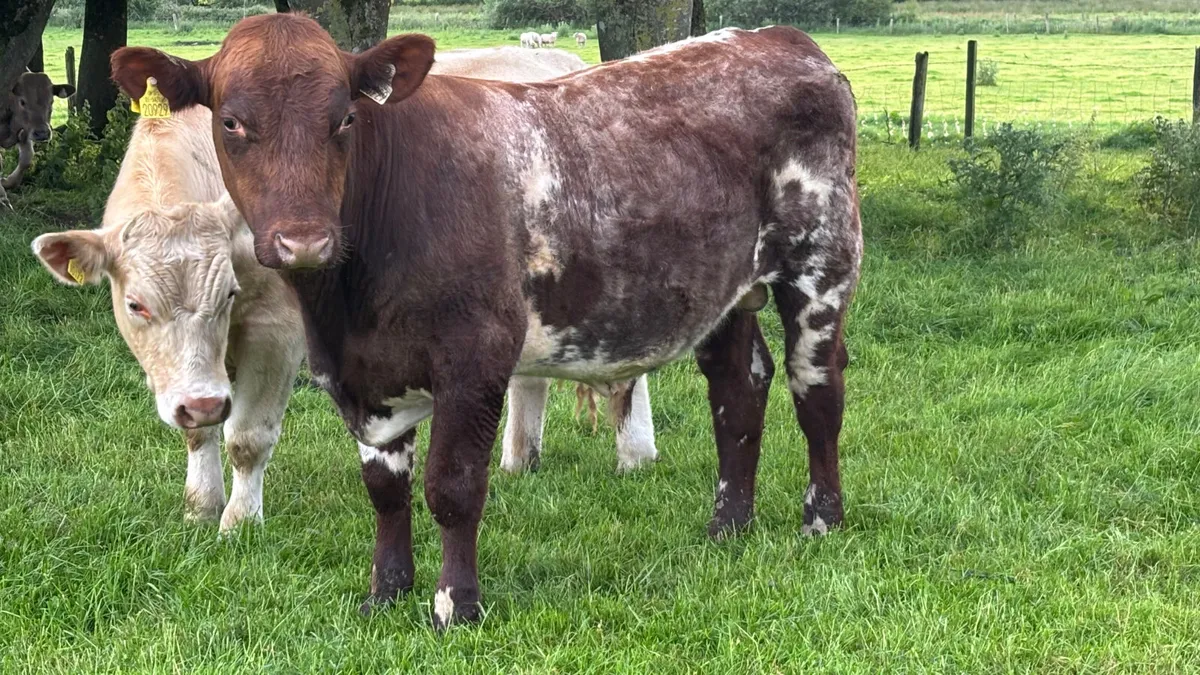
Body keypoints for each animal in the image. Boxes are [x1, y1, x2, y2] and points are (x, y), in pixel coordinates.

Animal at [1, 71, 75, 208]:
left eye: (51, 101)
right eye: (22, 102)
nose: (42, 133)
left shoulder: (25, 133)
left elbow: (27, 159)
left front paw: (7, 182)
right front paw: (3, 198)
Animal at [31, 106, 307, 532]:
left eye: (230, 293)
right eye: (135, 305)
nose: (203, 404)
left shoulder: (277, 329)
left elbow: (247, 438)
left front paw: (241, 523)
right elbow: (198, 433)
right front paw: (201, 507)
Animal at [111, 15, 862, 629]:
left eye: (344, 118)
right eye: (232, 122)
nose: (302, 241)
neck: (349, 299)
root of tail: (781, 39)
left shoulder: (474, 355)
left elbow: (452, 485)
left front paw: (455, 604)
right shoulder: (363, 372)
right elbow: (386, 489)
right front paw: (386, 592)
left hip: (821, 266)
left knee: (816, 390)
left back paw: (822, 519)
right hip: (724, 292)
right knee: (740, 390)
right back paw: (728, 524)